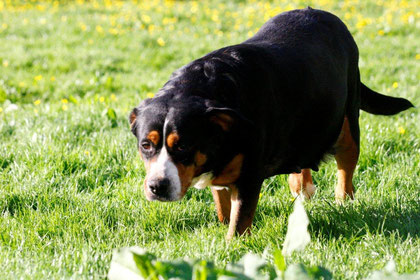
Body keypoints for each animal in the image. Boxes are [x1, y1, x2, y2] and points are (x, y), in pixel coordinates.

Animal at [130, 7, 414, 238]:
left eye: (183, 146)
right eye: (146, 145)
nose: (157, 186)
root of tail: (322, 13)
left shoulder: (249, 176)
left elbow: (238, 221)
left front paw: (232, 248)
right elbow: (224, 209)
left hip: (347, 120)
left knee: (346, 167)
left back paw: (343, 202)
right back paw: (301, 186)